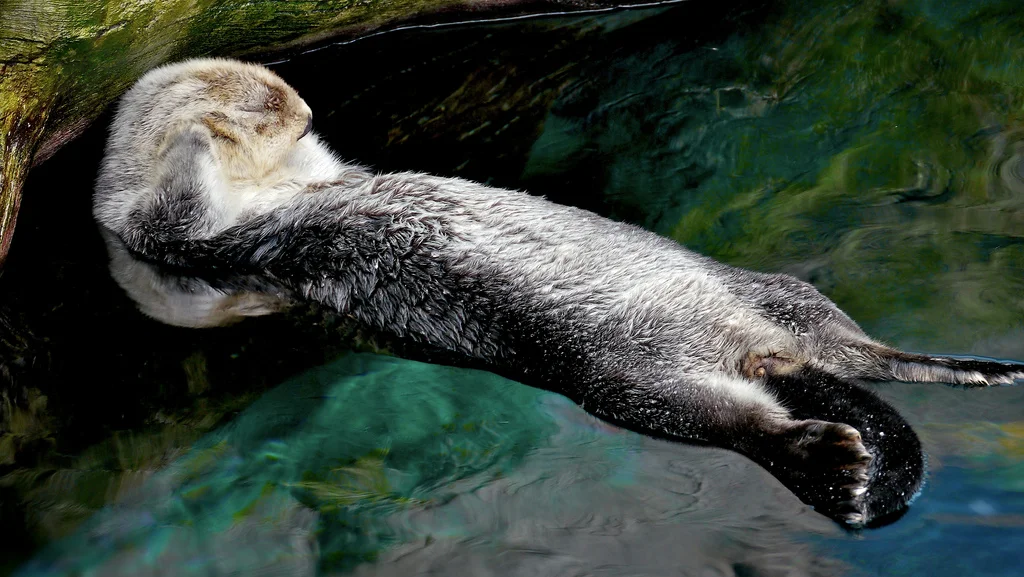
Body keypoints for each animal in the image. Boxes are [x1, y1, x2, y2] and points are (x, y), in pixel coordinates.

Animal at [94, 58, 1023, 527]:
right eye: (267, 102)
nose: (303, 103)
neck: (274, 188)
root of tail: (756, 351)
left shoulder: (315, 176)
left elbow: (320, 169)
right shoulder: (173, 243)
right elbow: (173, 213)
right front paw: (202, 125)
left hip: (776, 294)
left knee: (864, 352)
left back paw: (972, 369)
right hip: (629, 383)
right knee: (740, 423)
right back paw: (824, 447)